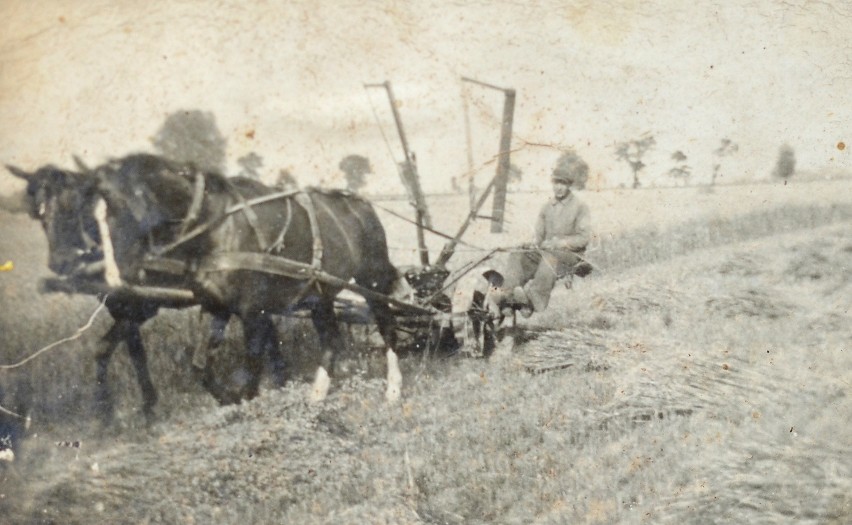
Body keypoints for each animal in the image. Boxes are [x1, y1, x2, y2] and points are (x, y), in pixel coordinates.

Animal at [65, 154, 396, 404]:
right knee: (331, 340)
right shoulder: (216, 306)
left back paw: (393, 389)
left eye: (110, 211)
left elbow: (253, 360)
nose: (111, 270)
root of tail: (362, 205)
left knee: (386, 323)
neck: (216, 228)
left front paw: (246, 397)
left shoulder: (252, 310)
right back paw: (317, 395)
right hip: (319, 291)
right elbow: (200, 364)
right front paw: (227, 397)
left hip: (372, 276)